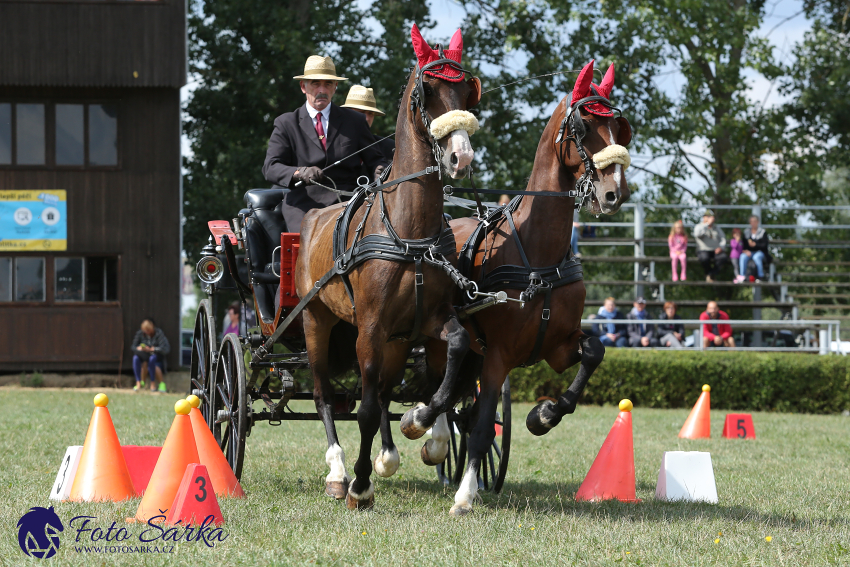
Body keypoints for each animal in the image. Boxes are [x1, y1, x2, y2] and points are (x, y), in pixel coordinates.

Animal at [296, 25, 484, 510]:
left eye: (466, 90)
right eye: (427, 90)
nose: (460, 157)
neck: (408, 233)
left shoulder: (431, 320)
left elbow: (456, 352)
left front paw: (422, 424)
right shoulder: (371, 328)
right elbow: (361, 409)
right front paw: (360, 486)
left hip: (398, 340)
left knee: (383, 392)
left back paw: (388, 454)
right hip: (315, 320)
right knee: (325, 396)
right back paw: (339, 471)